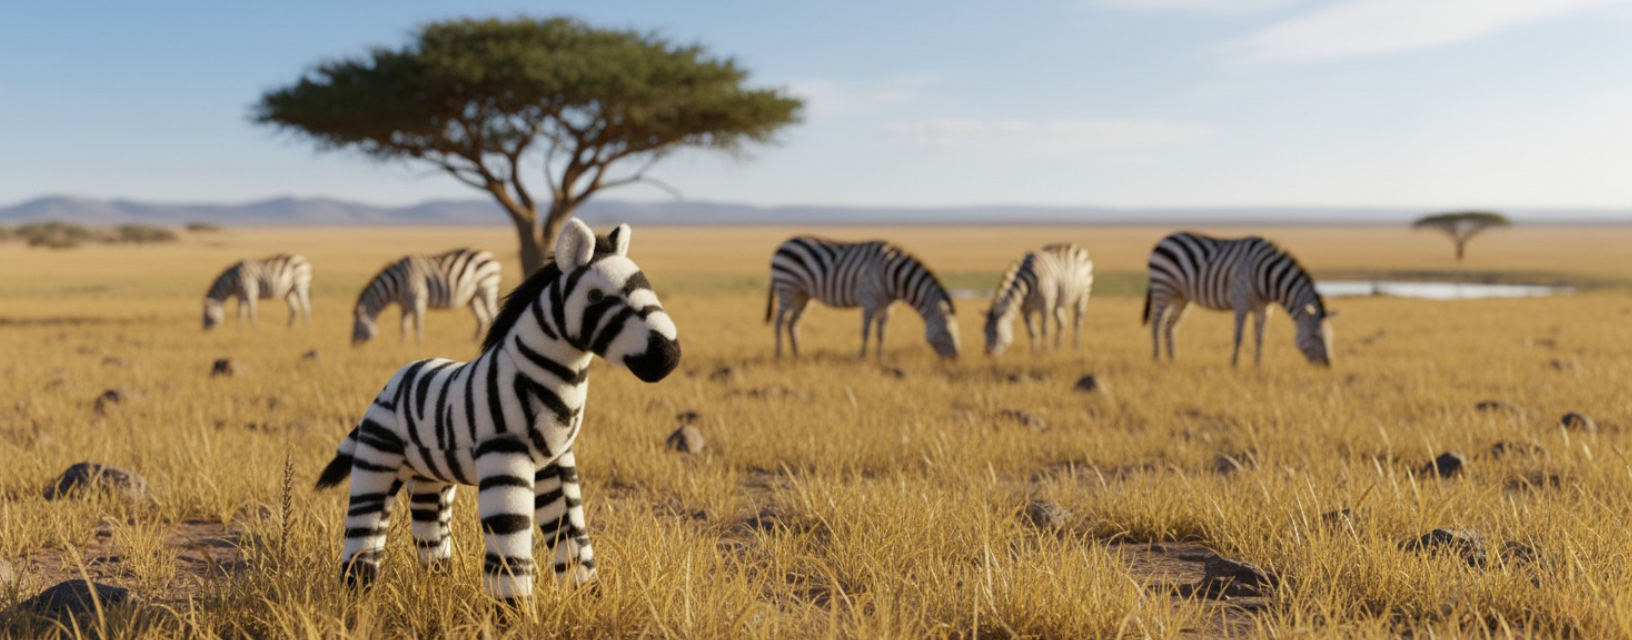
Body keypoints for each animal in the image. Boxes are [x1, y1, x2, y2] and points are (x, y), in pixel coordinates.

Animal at [352, 248, 502, 346]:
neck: (397, 284)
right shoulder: (404, 305)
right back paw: (474, 342)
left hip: (487, 288)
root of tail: (491, 256)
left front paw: (419, 344)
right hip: (473, 297)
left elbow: (417, 324)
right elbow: (404, 326)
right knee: (482, 318)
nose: (352, 344)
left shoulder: (418, 298)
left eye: (358, 324)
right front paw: (401, 345)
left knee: (492, 315)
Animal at [766, 236, 960, 359]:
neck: (893, 276)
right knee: (779, 321)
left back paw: (797, 354)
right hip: (787, 286)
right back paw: (778, 354)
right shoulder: (869, 300)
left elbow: (882, 333)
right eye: (948, 332)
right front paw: (862, 356)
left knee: (792, 323)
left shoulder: (886, 306)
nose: (956, 357)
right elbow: (866, 331)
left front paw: (880, 356)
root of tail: (782, 245)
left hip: (802, 295)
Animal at [1143, 231, 1334, 367]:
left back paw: (1172, 359)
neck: (1265, 276)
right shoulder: (1241, 302)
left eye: (1330, 336)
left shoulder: (1264, 308)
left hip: (1180, 297)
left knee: (1169, 326)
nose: (1328, 364)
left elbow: (1260, 337)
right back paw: (1156, 358)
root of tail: (1163, 240)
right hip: (1162, 287)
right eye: (1316, 336)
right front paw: (1234, 364)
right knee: (1156, 322)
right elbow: (1238, 336)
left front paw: (1258, 364)